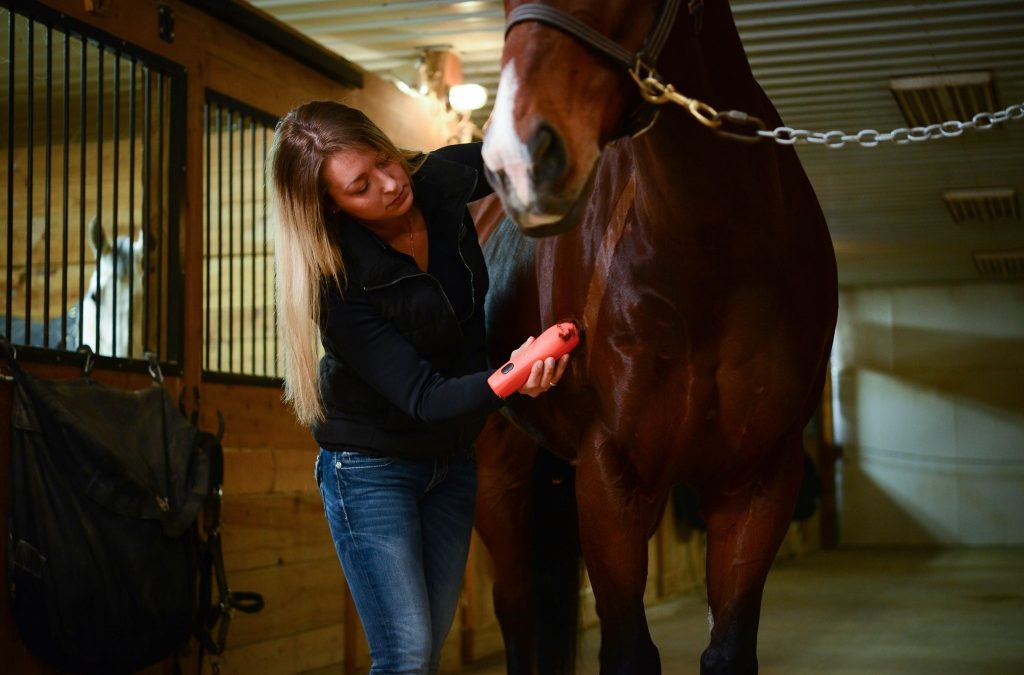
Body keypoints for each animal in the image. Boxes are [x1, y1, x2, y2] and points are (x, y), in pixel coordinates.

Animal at [475, 1, 835, 675]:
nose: (517, 162)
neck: (711, 253)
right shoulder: (611, 473)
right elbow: (628, 652)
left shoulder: (758, 479)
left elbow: (728, 648)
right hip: (495, 470)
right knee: (516, 608)